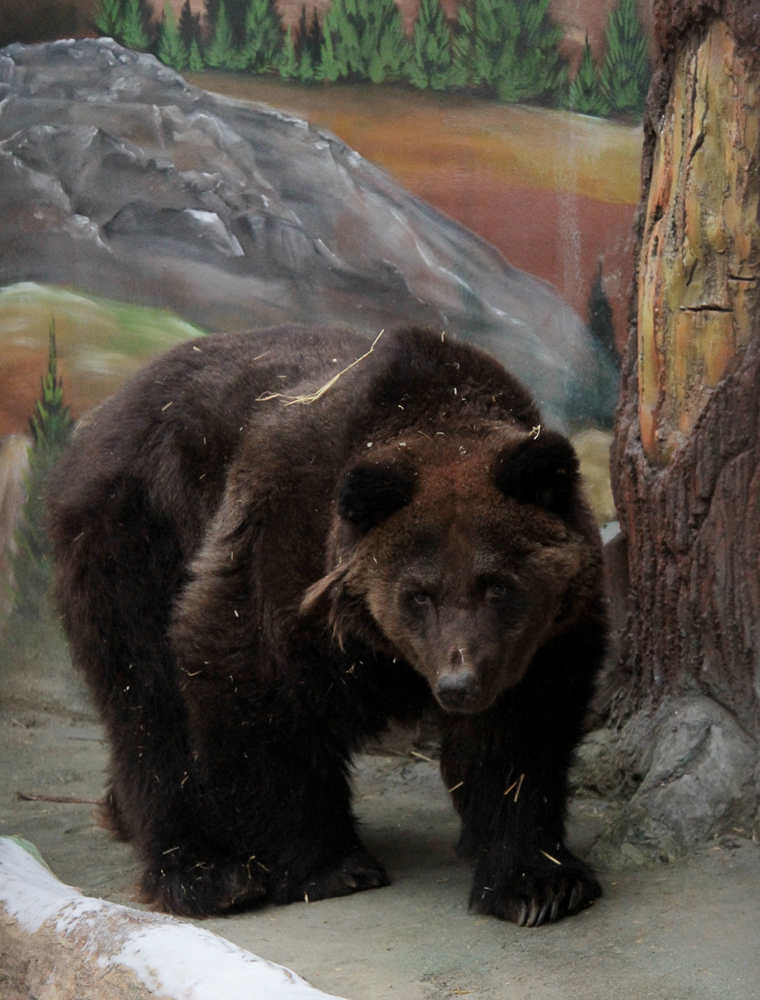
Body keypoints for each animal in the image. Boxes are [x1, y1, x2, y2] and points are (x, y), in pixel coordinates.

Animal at [47, 324, 604, 924]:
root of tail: (102, 413)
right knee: (149, 702)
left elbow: (522, 739)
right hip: (138, 535)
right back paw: (205, 872)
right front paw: (331, 866)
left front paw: (538, 883)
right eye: (419, 594)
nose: (459, 685)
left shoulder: (543, 640)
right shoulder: (283, 537)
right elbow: (256, 679)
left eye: (497, 585)